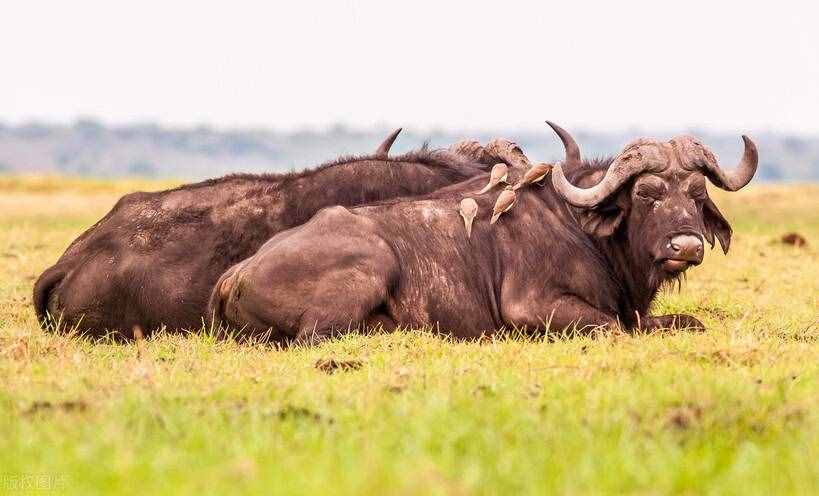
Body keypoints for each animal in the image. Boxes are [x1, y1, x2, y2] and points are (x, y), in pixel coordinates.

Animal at [208, 122, 760, 342]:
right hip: (370, 266)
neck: (584, 230)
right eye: (646, 193)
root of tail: (236, 274)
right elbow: (609, 327)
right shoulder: (532, 308)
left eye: (696, 193)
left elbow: (683, 323)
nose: (685, 245)